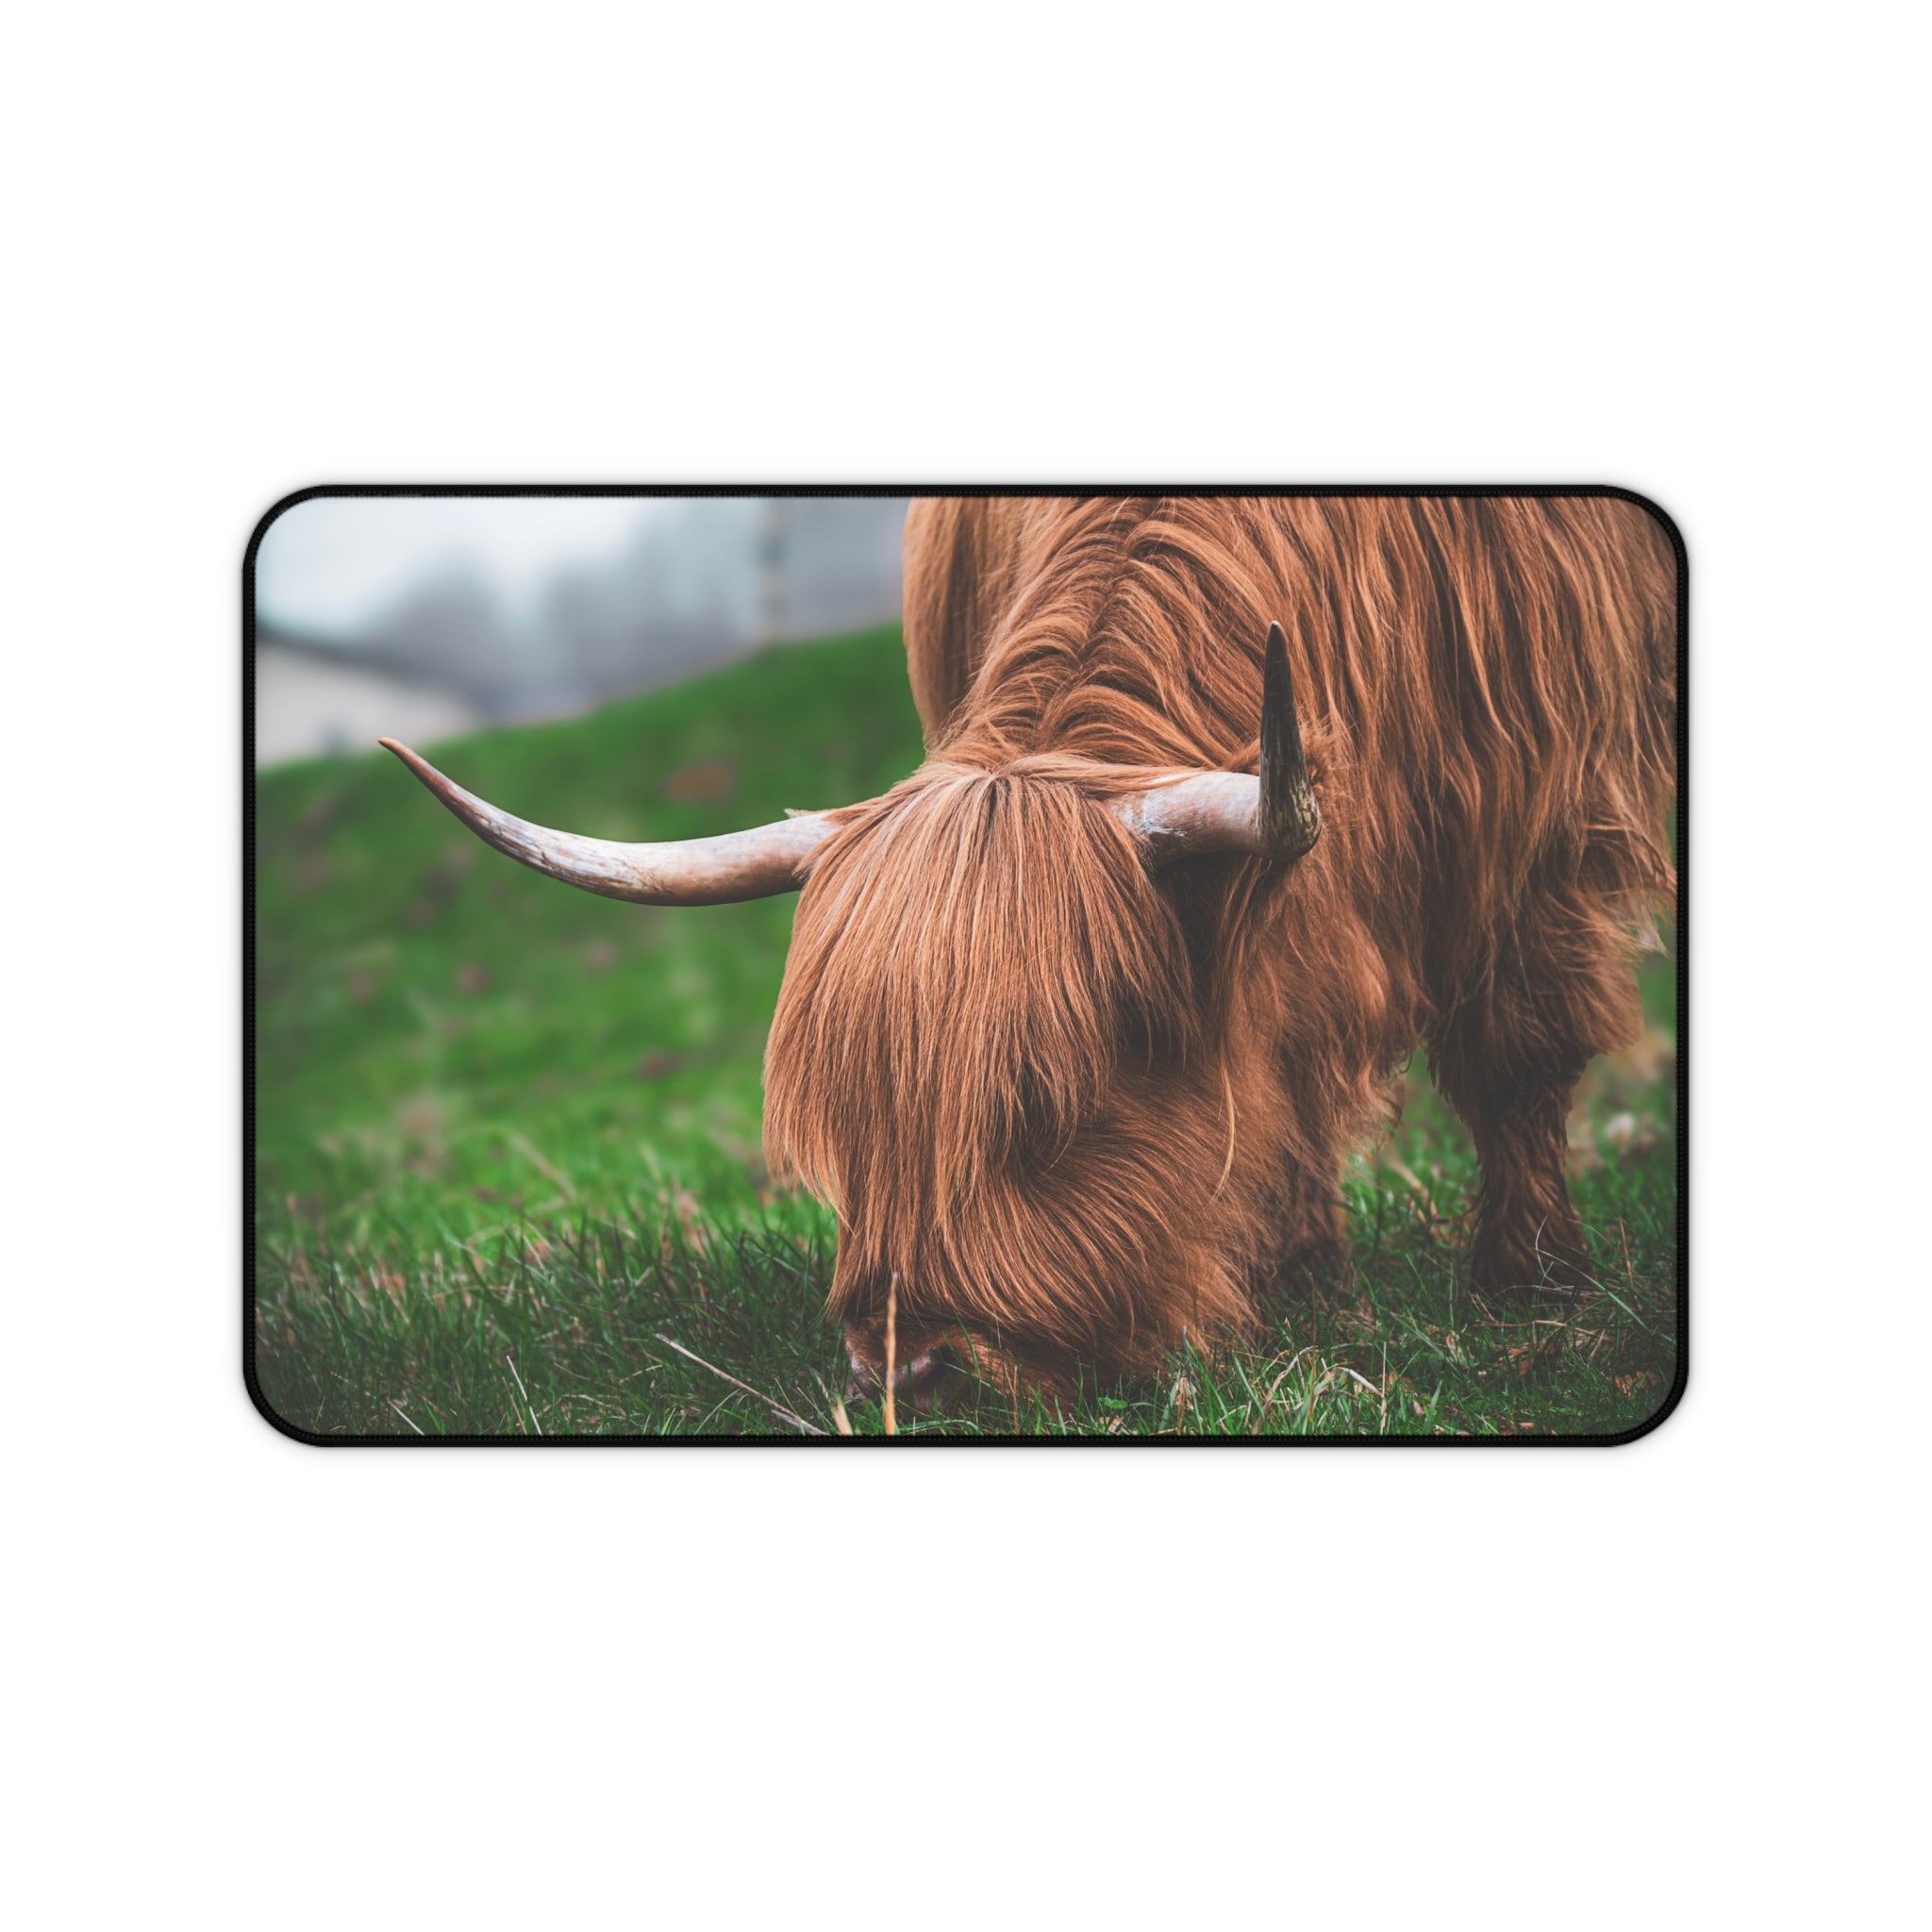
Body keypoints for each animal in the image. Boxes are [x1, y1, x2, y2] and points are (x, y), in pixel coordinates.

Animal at [382, 494, 1678, 1400]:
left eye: (1048, 1104)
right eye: (846, 1120)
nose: (909, 1372)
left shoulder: (1538, 806)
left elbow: (1511, 1050)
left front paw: (1529, 1278)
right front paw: (1306, 1283)